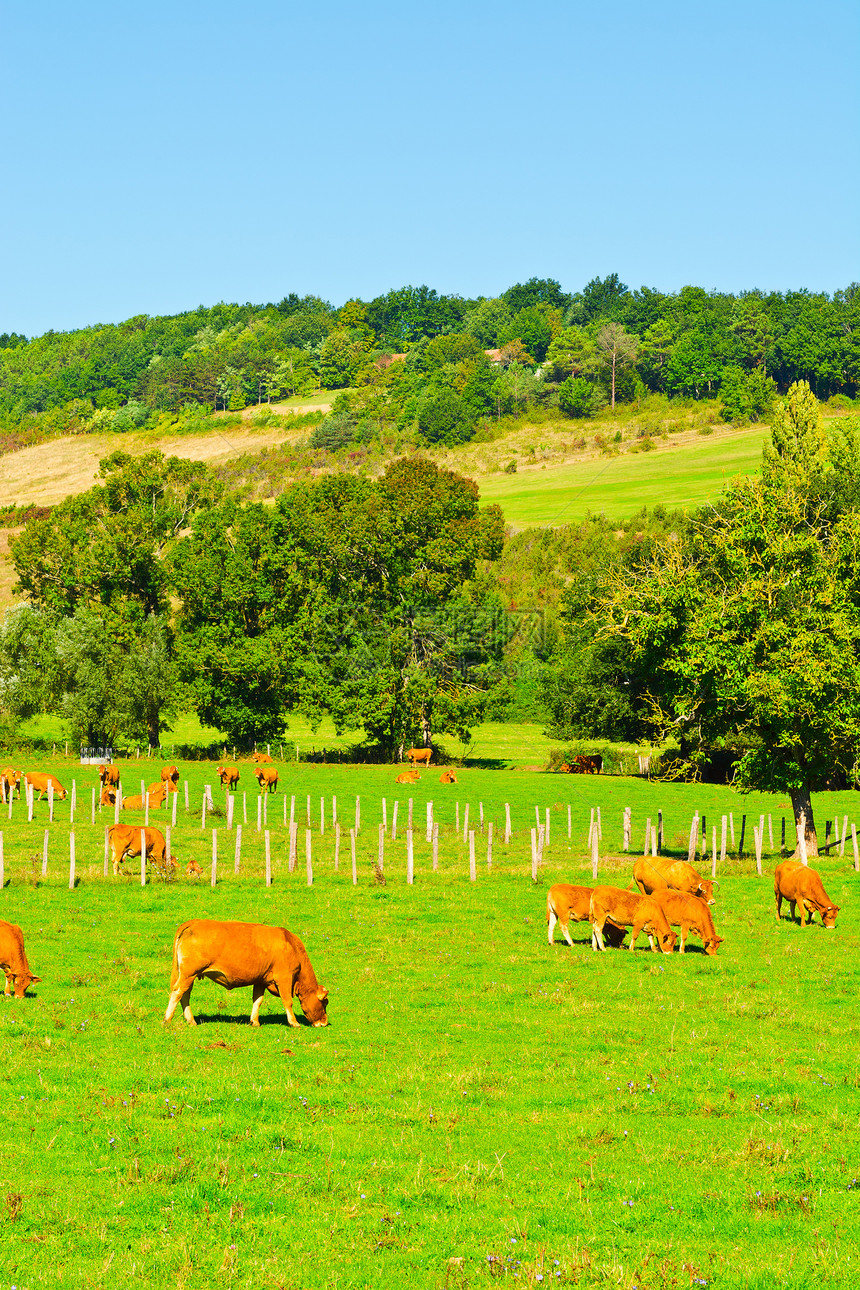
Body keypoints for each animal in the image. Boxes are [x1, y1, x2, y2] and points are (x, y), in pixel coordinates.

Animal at [165, 918, 330, 1026]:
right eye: (325, 1002)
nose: (324, 1022)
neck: (291, 945)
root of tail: (195, 921)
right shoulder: (284, 977)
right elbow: (287, 1001)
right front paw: (294, 1023)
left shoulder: (261, 980)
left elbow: (258, 1000)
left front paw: (255, 1021)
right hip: (189, 973)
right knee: (178, 992)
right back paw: (167, 1019)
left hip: (189, 975)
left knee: (185, 994)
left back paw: (191, 1020)